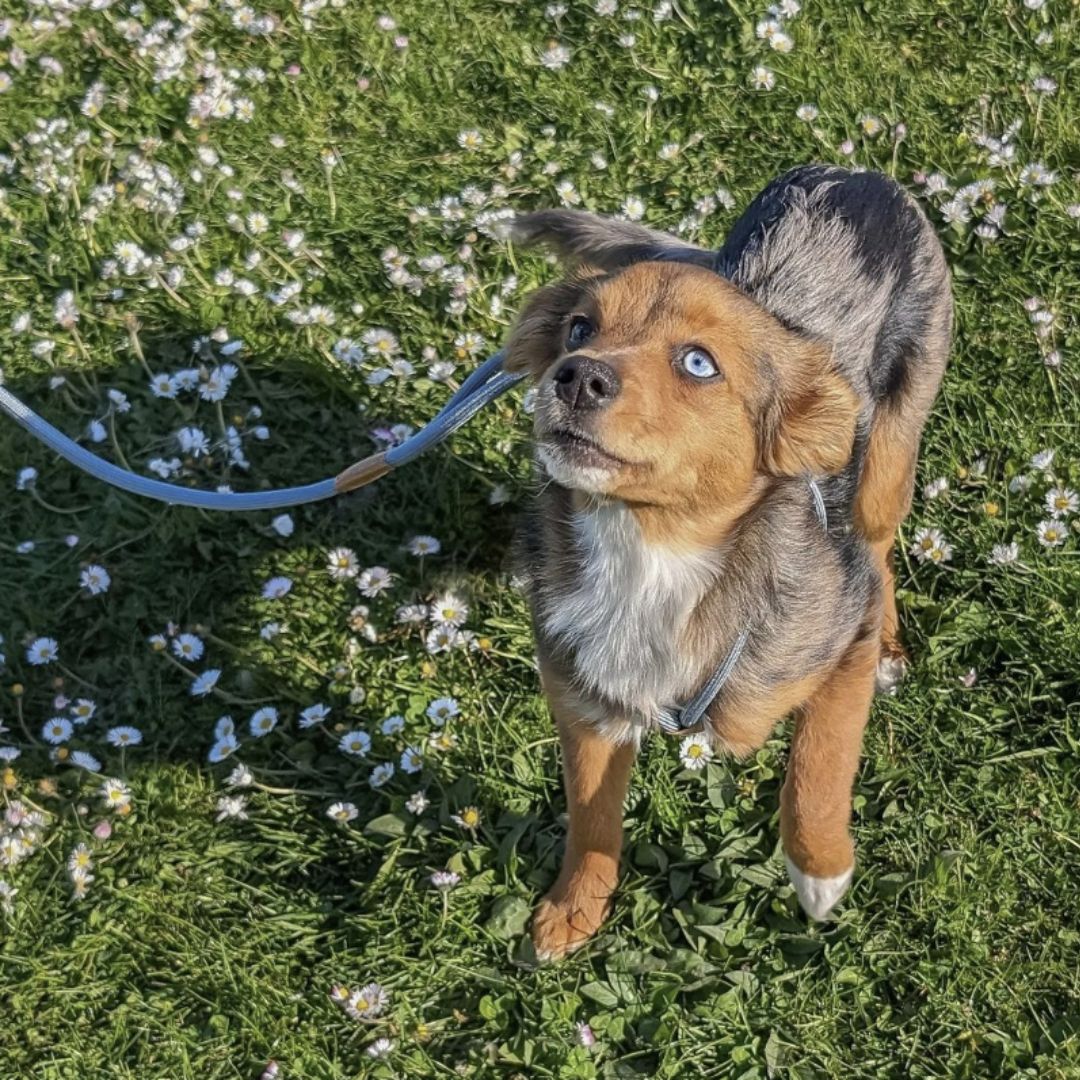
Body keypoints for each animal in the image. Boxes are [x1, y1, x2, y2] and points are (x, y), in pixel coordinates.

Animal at [501, 164, 950, 959]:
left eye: (698, 364)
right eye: (579, 328)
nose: (576, 376)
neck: (649, 554)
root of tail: (851, 173)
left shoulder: (840, 648)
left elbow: (818, 766)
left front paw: (820, 871)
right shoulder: (585, 703)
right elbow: (590, 818)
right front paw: (573, 908)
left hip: (888, 463)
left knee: (879, 552)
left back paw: (894, 645)